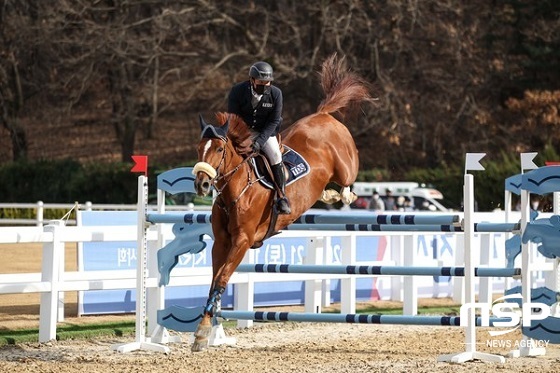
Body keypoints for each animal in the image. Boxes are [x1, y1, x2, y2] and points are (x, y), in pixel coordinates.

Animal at [190, 53, 374, 350]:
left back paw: (341, 194)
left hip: (347, 164)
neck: (236, 191)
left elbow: (221, 278)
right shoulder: (222, 241)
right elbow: (215, 279)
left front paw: (202, 330)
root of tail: (323, 114)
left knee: (348, 180)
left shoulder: (242, 240)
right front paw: (204, 329)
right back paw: (327, 194)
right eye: (199, 148)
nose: (202, 184)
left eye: (219, 149)